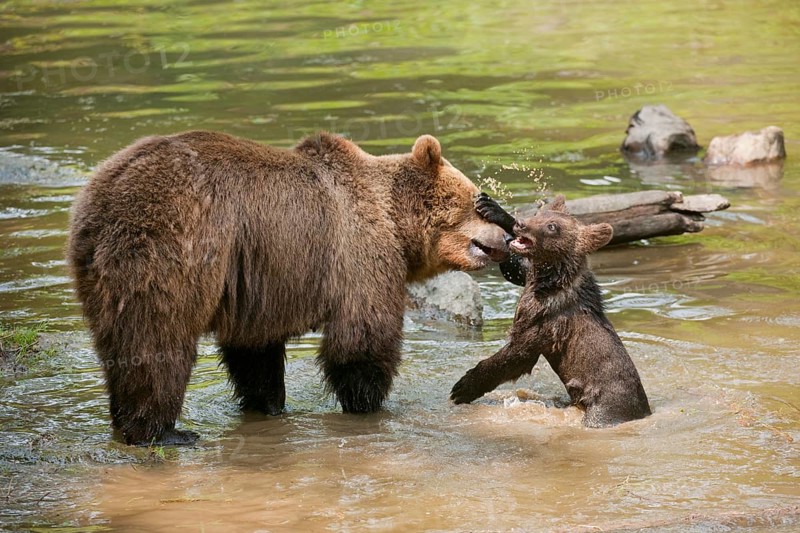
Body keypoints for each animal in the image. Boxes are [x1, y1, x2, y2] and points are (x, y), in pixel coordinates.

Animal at [67, 131, 510, 445]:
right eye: (477, 202)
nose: (507, 239)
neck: (396, 221)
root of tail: (102, 200)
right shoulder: (357, 252)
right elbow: (362, 339)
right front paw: (368, 403)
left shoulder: (259, 285)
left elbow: (255, 353)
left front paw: (268, 404)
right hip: (171, 247)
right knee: (158, 340)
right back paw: (163, 433)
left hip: (101, 274)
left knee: (120, 344)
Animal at [450, 194, 651, 427]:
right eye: (539, 214)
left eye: (552, 226)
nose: (522, 224)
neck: (549, 280)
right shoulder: (530, 276)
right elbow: (514, 267)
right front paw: (490, 206)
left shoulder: (545, 321)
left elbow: (515, 356)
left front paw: (463, 387)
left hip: (605, 408)